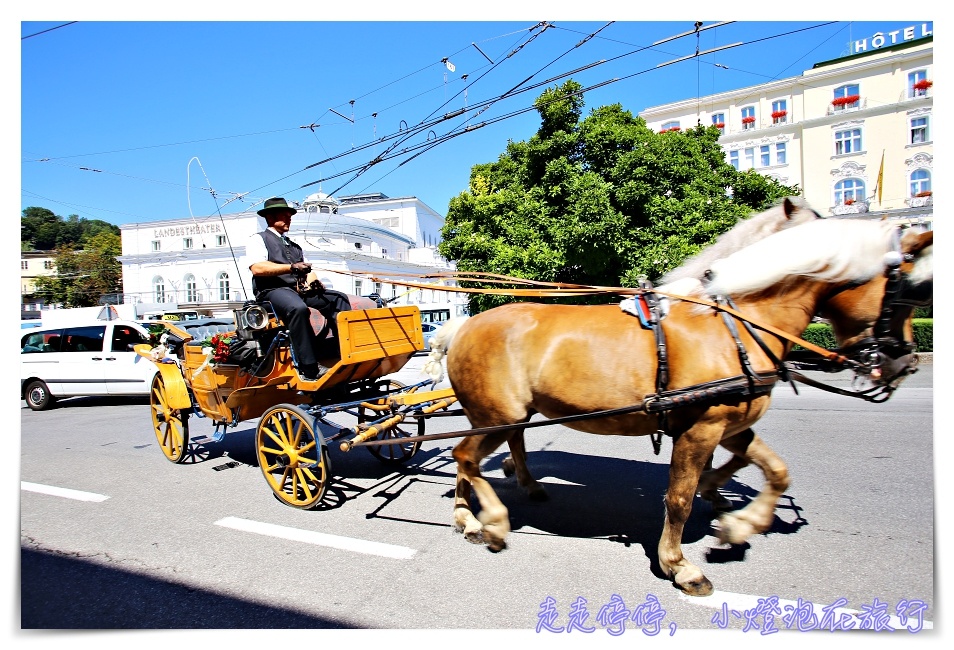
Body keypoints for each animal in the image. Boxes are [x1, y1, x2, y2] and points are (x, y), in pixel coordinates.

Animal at [432, 218, 928, 592]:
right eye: (912, 291)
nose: (905, 362)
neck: (734, 325)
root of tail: (463, 325)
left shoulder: (730, 424)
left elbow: (776, 470)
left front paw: (740, 523)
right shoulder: (699, 430)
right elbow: (679, 498)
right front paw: (678, 563)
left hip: (498, 416)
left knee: (478, 455)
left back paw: (480, 508)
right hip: (495, 416)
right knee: (464, 456)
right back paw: (487, 521)